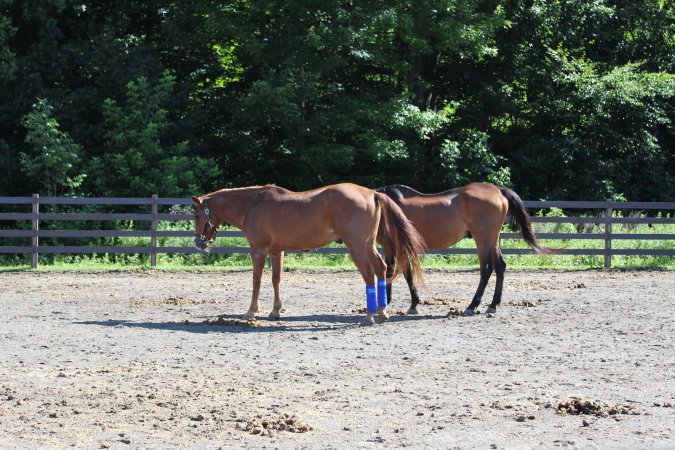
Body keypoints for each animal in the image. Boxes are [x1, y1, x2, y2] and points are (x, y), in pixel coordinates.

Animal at [190, 183, 426, 324]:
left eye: (198, 215)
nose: (198, 243)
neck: (252, 204)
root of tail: (373, 193)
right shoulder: (277, 251)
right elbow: (276, 279)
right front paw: (275, 310)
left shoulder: (257, 250)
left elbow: (256, 279)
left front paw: (251, 311)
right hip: (368, 245)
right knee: (381, 269)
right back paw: (382, 311)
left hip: (357, 246)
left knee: (369, 274)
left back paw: (369, 315)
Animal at [378, 183, 556, 316]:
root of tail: (498, 190)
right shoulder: (392, 246)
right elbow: (396, 271)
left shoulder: (394, 245)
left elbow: (398, 272)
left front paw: (401, 302)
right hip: (493, 240)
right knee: (500, 266)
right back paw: (493, 304)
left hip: (482, 240)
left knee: (487, 269)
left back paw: (472, 305)